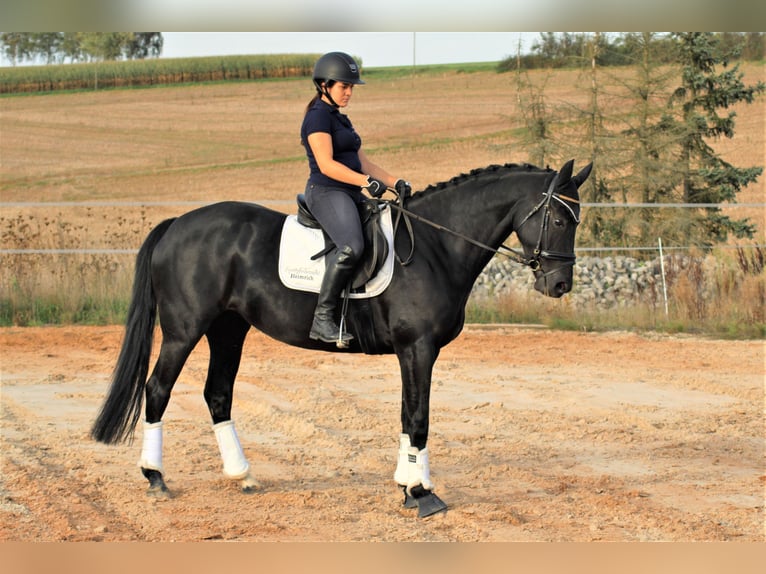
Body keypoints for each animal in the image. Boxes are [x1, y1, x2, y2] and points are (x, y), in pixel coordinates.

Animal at [90, 160, 592, 520]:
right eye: (558, 219)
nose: (559, 286)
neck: (435, 247)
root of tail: (176, 224)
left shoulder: (413, 352)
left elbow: (407, 415)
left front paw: (406, 486)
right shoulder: (418, 347)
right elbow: (420, 418)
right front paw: (423, 494)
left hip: (228, 329)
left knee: (217, 393)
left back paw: (242, 475)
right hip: (185, 329)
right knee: (158, 390)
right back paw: (156, 478)